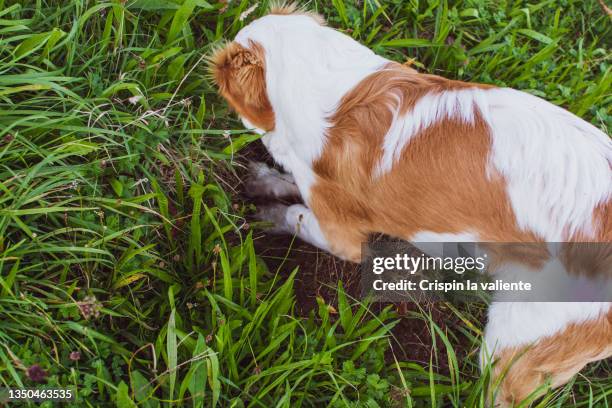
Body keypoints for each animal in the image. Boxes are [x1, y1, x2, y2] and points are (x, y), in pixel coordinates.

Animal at [212, 3, 612, 408]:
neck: (335, 93)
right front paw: (267, 181)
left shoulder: (341, 235)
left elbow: (298, 215)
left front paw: (269, 214)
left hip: (513, 343)